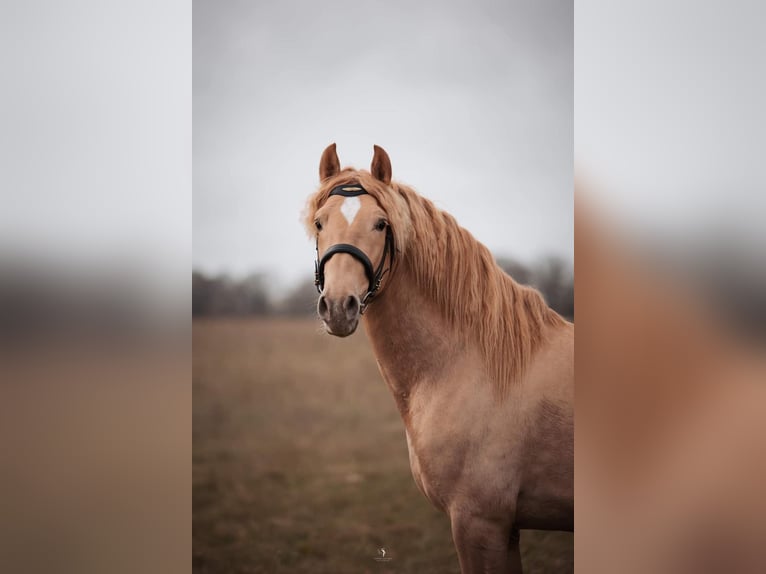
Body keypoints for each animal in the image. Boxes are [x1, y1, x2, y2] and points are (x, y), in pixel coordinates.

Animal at [304, 143, 572, 572]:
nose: (338, 307)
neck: (471, 367)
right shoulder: (505, 528)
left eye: (381, 224)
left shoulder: (478, 521)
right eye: (319, 222)